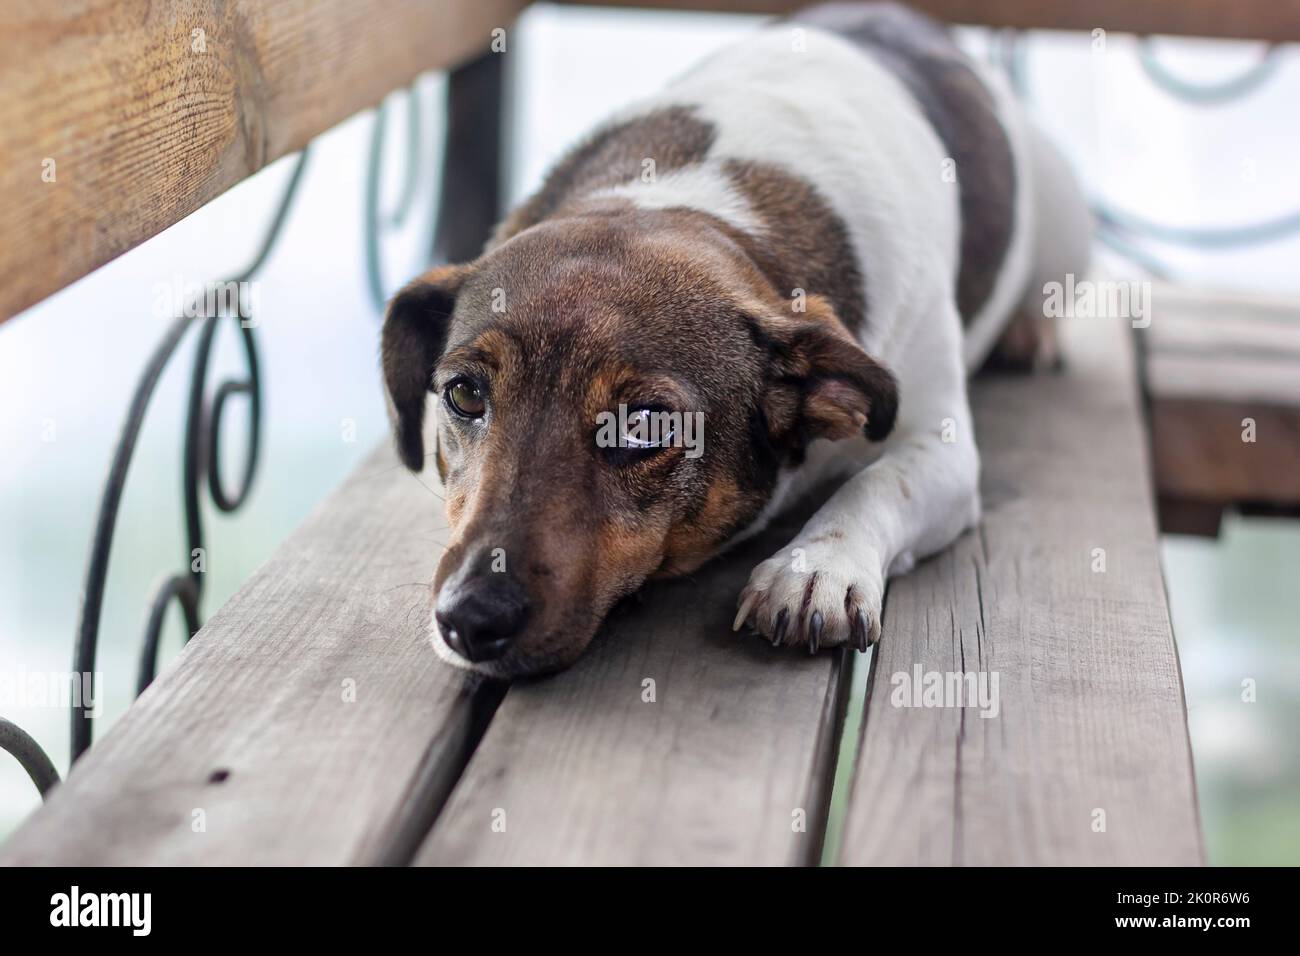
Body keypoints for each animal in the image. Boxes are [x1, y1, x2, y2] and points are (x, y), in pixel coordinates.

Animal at [379, 0, 1092, 676]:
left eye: (645, 425)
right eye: (465, 395)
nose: (470, 620)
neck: (698, 200)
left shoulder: (943, 452)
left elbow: (881, 482)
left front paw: (814, 570)